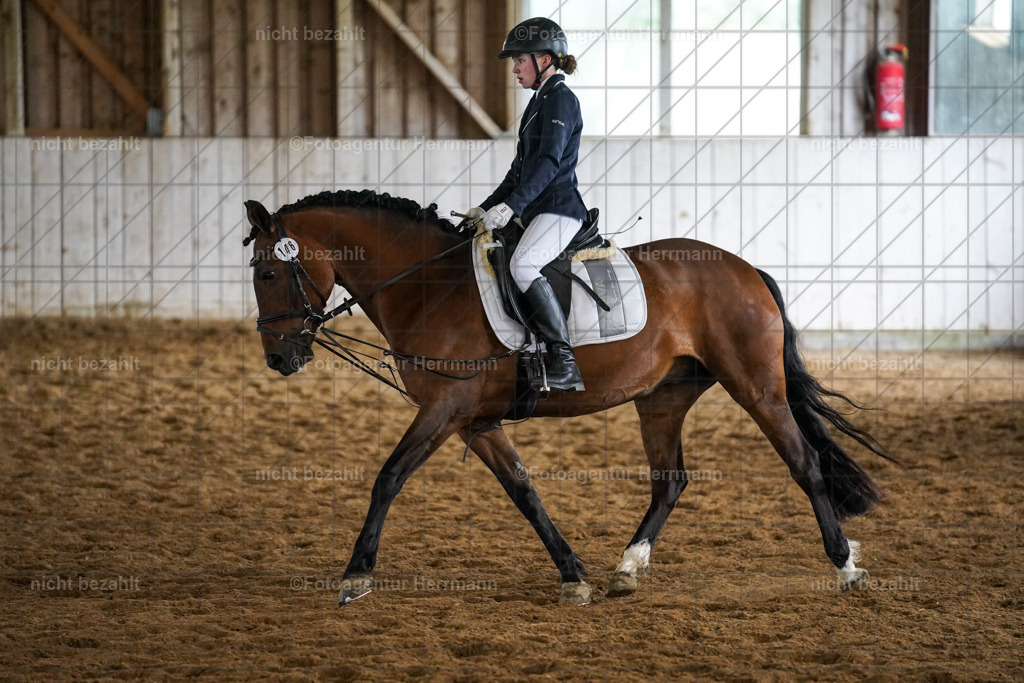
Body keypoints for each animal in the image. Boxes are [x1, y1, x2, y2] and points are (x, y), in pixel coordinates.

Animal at [244, 189, 894, 606]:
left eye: (268, 274)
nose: (280, 359)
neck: (426, 286)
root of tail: (747, 269)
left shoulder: (445, 409)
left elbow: (388, 477)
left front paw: (355, 575)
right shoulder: (475, 422)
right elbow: (525, 493)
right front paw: (572, 574)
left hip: (755, 386)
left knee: (804, 463)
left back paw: (845, 568)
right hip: (662, 398)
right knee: (670, 481)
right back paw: (627, 569)